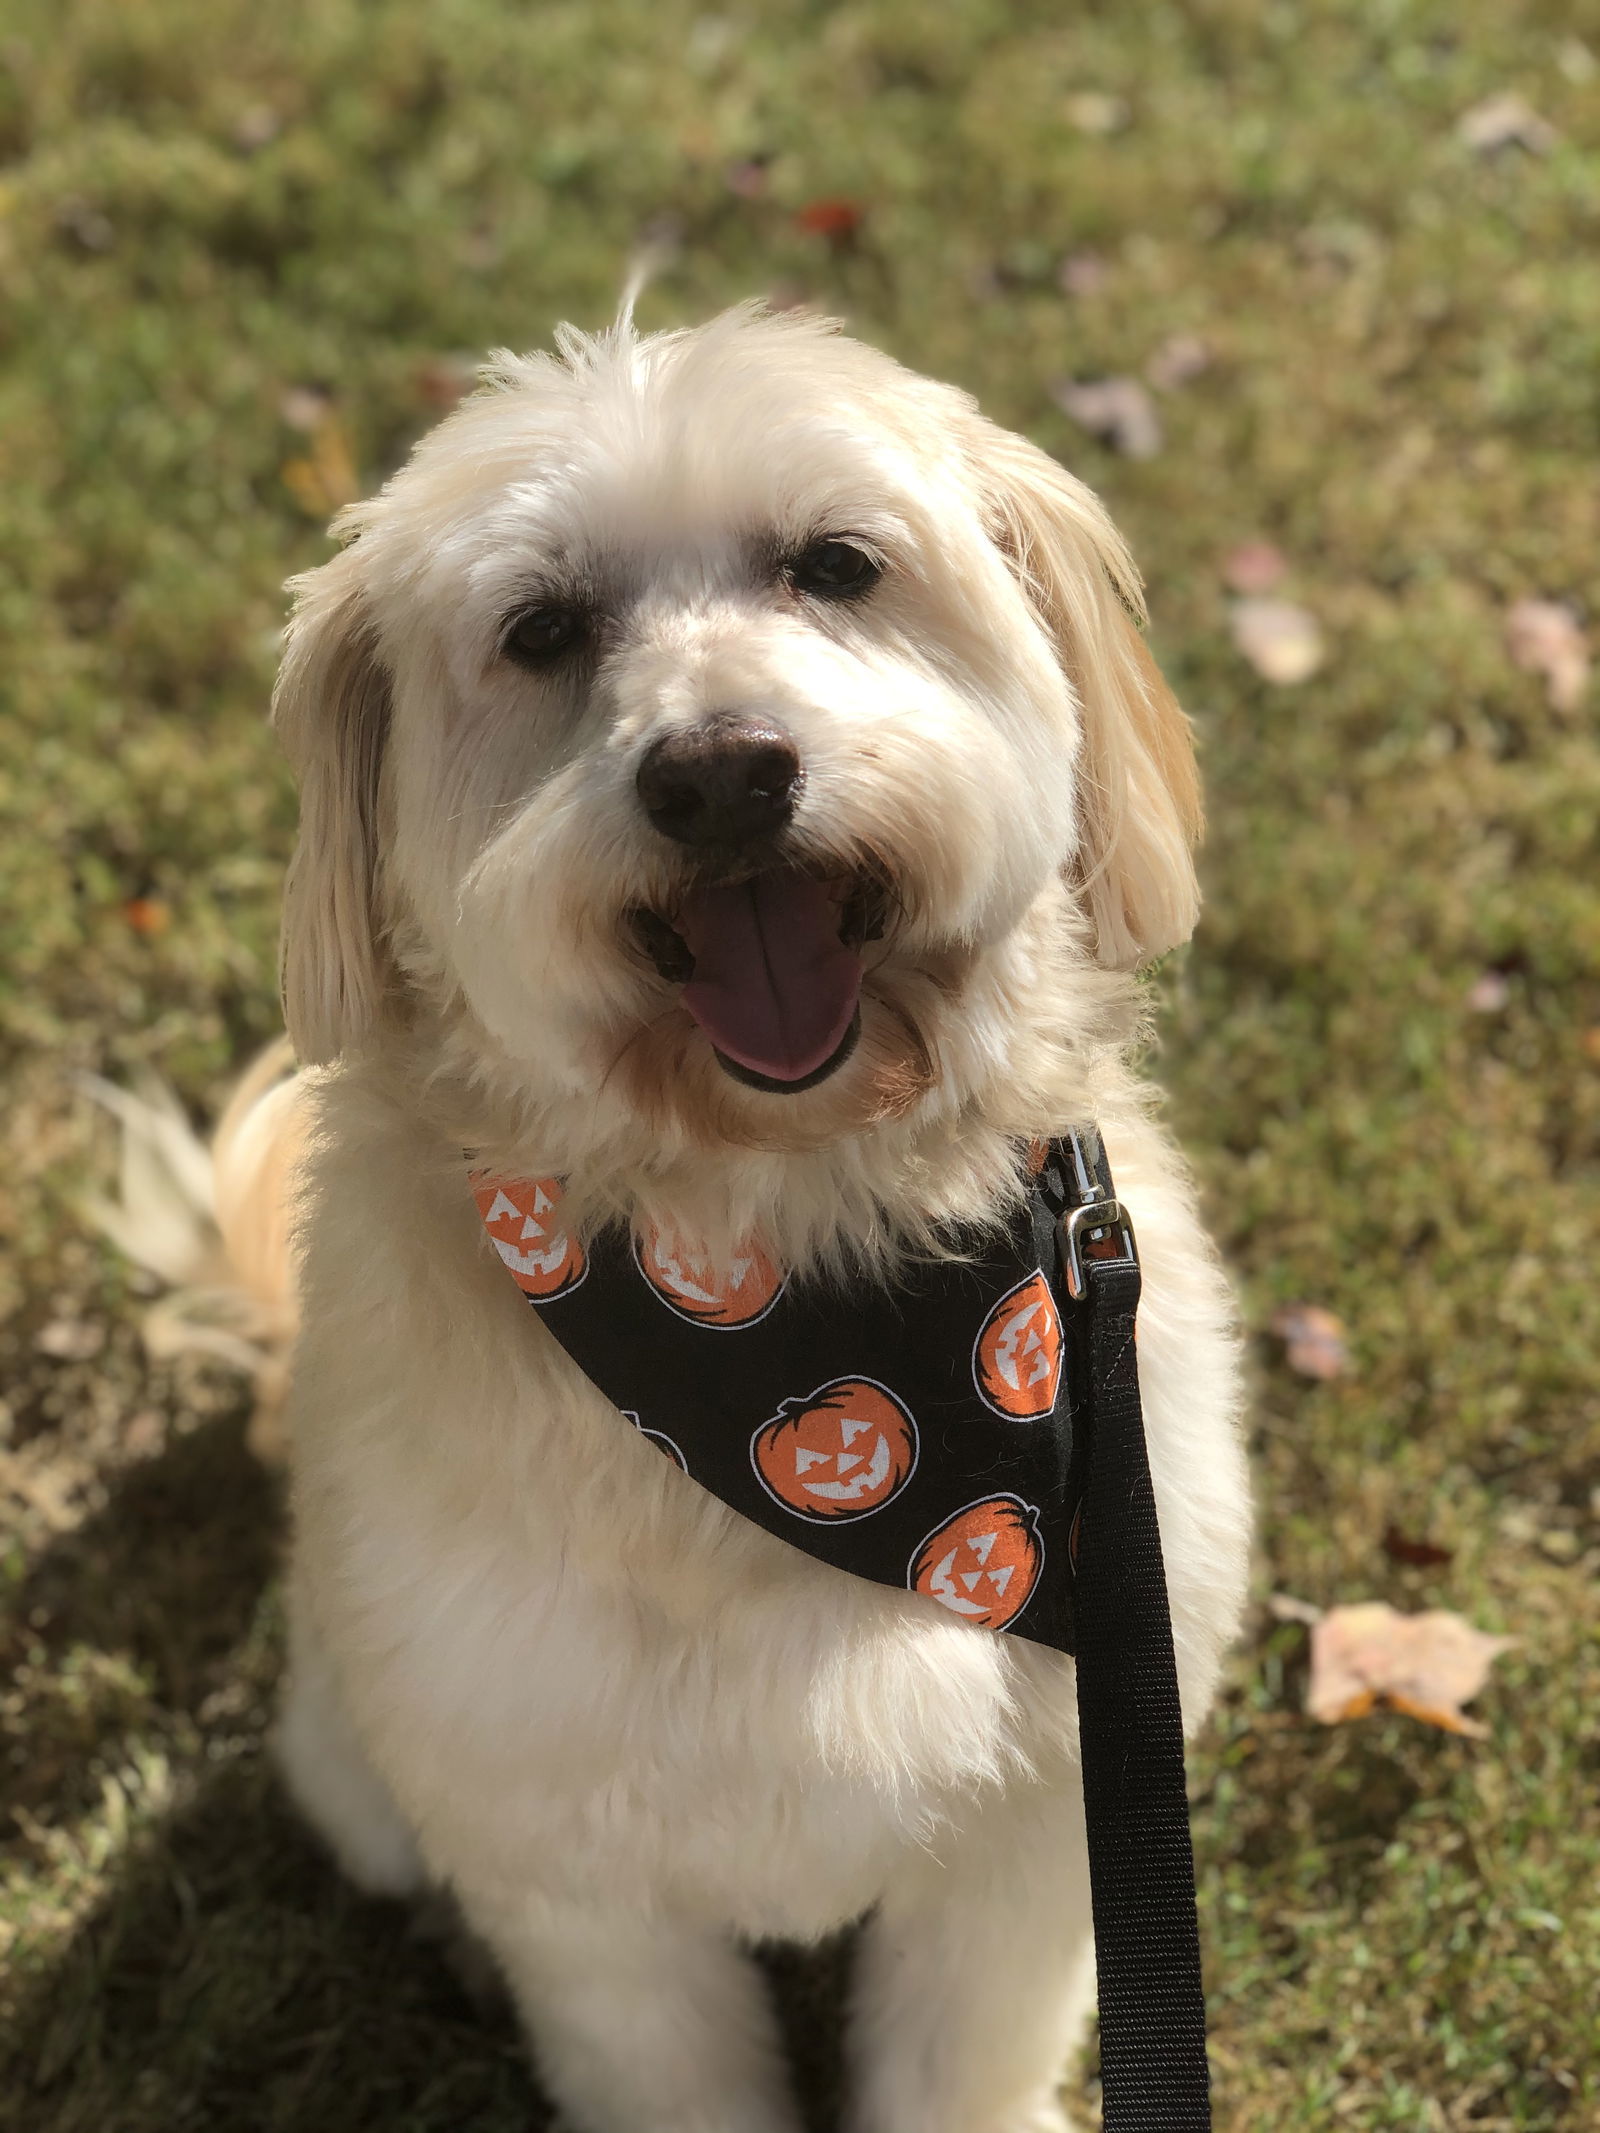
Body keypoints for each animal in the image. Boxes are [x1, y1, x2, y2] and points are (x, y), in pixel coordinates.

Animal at [250, 305, 1262, 2133]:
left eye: (836, 564)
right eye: (543, 628)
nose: (721, 774)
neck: (781, 1255)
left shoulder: (1046, 1820)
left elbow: (959, 2058)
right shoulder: (571, 1871)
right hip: (346, 1752)